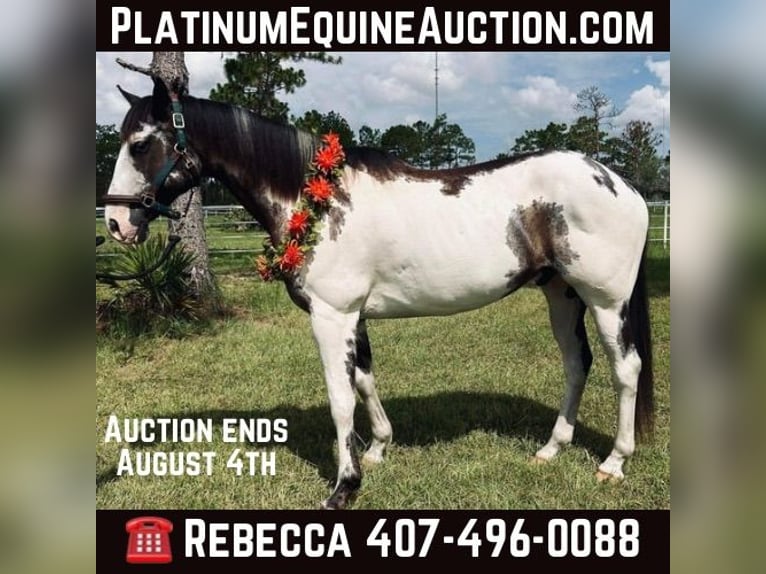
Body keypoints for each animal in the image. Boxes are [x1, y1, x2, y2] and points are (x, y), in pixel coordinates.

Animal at [103, 77, 653, 509]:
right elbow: (365, 381)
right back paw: (551, 449)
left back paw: (614, 462)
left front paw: (344, 486)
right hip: (561, 294)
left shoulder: (332, 316)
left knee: (625, 369)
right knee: (577, 363)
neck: (317, 199)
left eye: (141, 144)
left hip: (605, 301)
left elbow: (340, 398)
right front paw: (377, 450)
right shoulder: (354, 316)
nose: (115, 222)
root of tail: (620, 184)